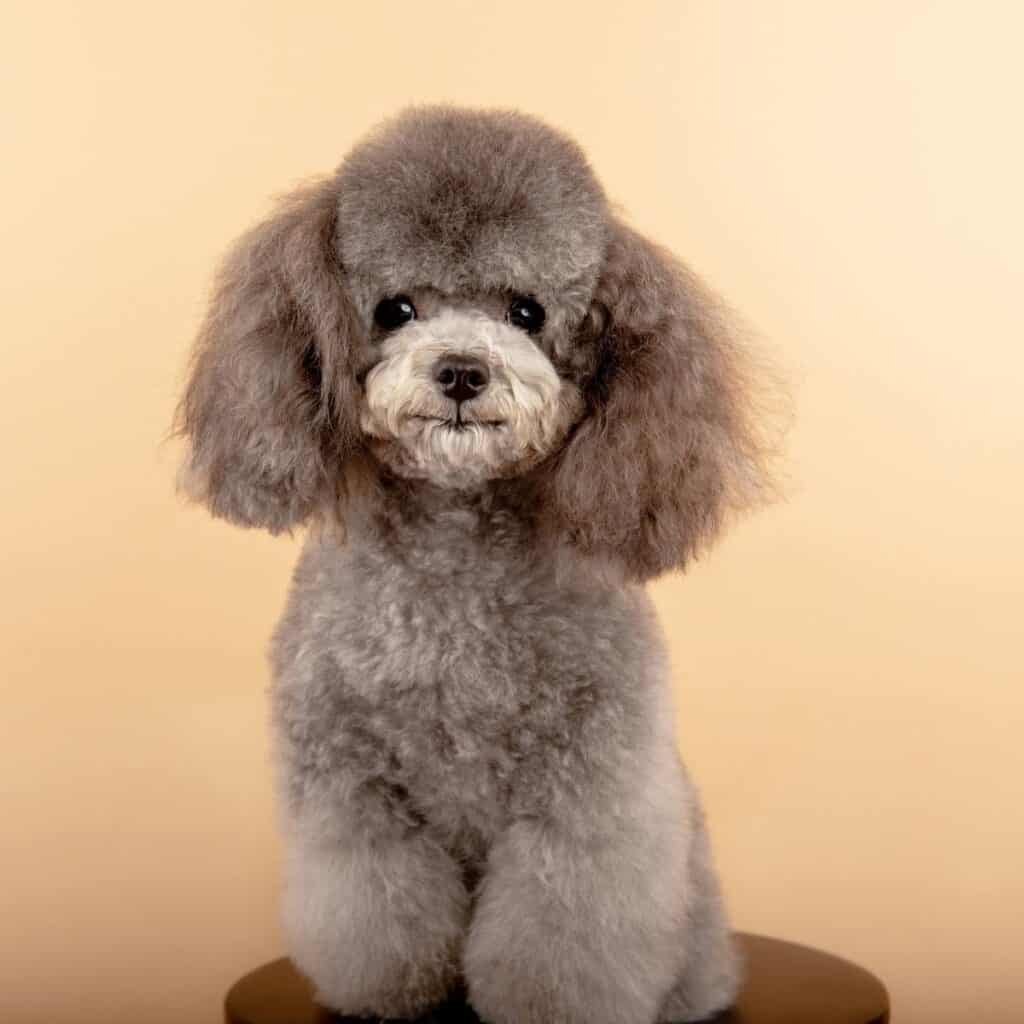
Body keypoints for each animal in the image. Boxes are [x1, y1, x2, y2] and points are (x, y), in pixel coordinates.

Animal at [180, 105, 774, 1024]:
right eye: (395, 308)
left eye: (525, 311)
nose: (461, 370)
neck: (454, 575)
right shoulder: (350, 789)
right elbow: (374, 904)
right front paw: (387, 994)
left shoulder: (589, 790)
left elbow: (565, 926)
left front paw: (547, 1005)